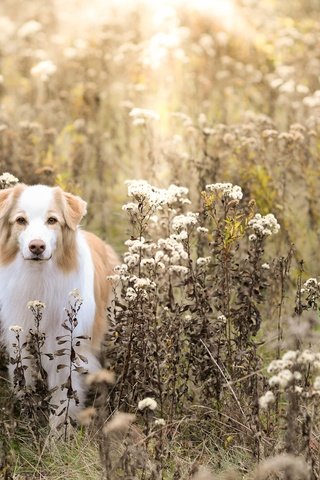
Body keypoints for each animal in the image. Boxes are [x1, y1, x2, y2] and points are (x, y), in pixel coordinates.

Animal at [0, 184, 118, 424]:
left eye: (52, 220)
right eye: (20, 220)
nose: (37, 247)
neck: (39, 276)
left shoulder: (67, 349)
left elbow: (64, 398)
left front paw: (60, 432)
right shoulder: (20, 339)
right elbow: (24, 380)